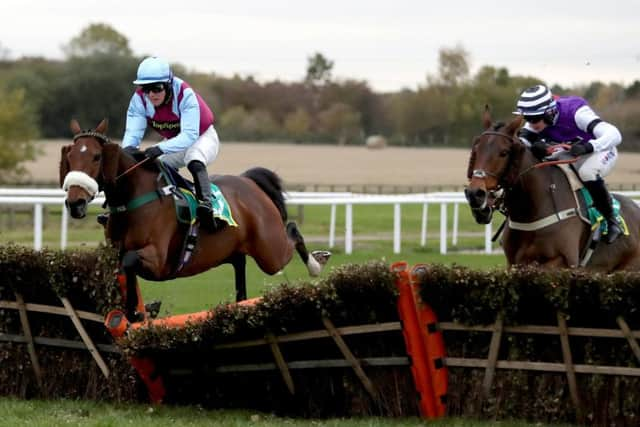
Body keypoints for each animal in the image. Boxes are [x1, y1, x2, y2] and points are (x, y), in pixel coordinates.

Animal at [60, 120, 332, 320]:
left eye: (96, 156)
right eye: (70, 156)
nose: (75, 203)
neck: (134, 198)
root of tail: (249, 181)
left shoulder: (158, 260)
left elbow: (129, 260)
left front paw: (137, 312)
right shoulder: (115, 252)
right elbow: (118, 267)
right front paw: (140, 309)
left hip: (270, 253)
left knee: (292, 231)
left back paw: (317, 262)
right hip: (236, 251)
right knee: (240, 273)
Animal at [462, 110, 640, 270]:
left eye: (504, 152)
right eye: (476, 149)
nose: (475, 194)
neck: (531, 211)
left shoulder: (563, 261)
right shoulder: (513, 263)